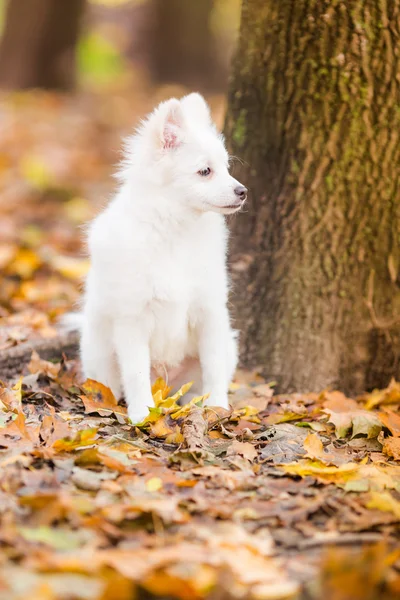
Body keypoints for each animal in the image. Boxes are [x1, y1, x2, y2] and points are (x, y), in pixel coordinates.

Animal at [68, 94, 245, 422]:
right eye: (205, 171)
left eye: (227, 168)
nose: (243, 191)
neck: (175, 230)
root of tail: (168, 386)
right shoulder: (132, 319)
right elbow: (136, 373)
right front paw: (142, 416)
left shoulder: (210, 312)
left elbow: (213, 366)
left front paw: (218, 408)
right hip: (99, 353)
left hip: (227, 346)